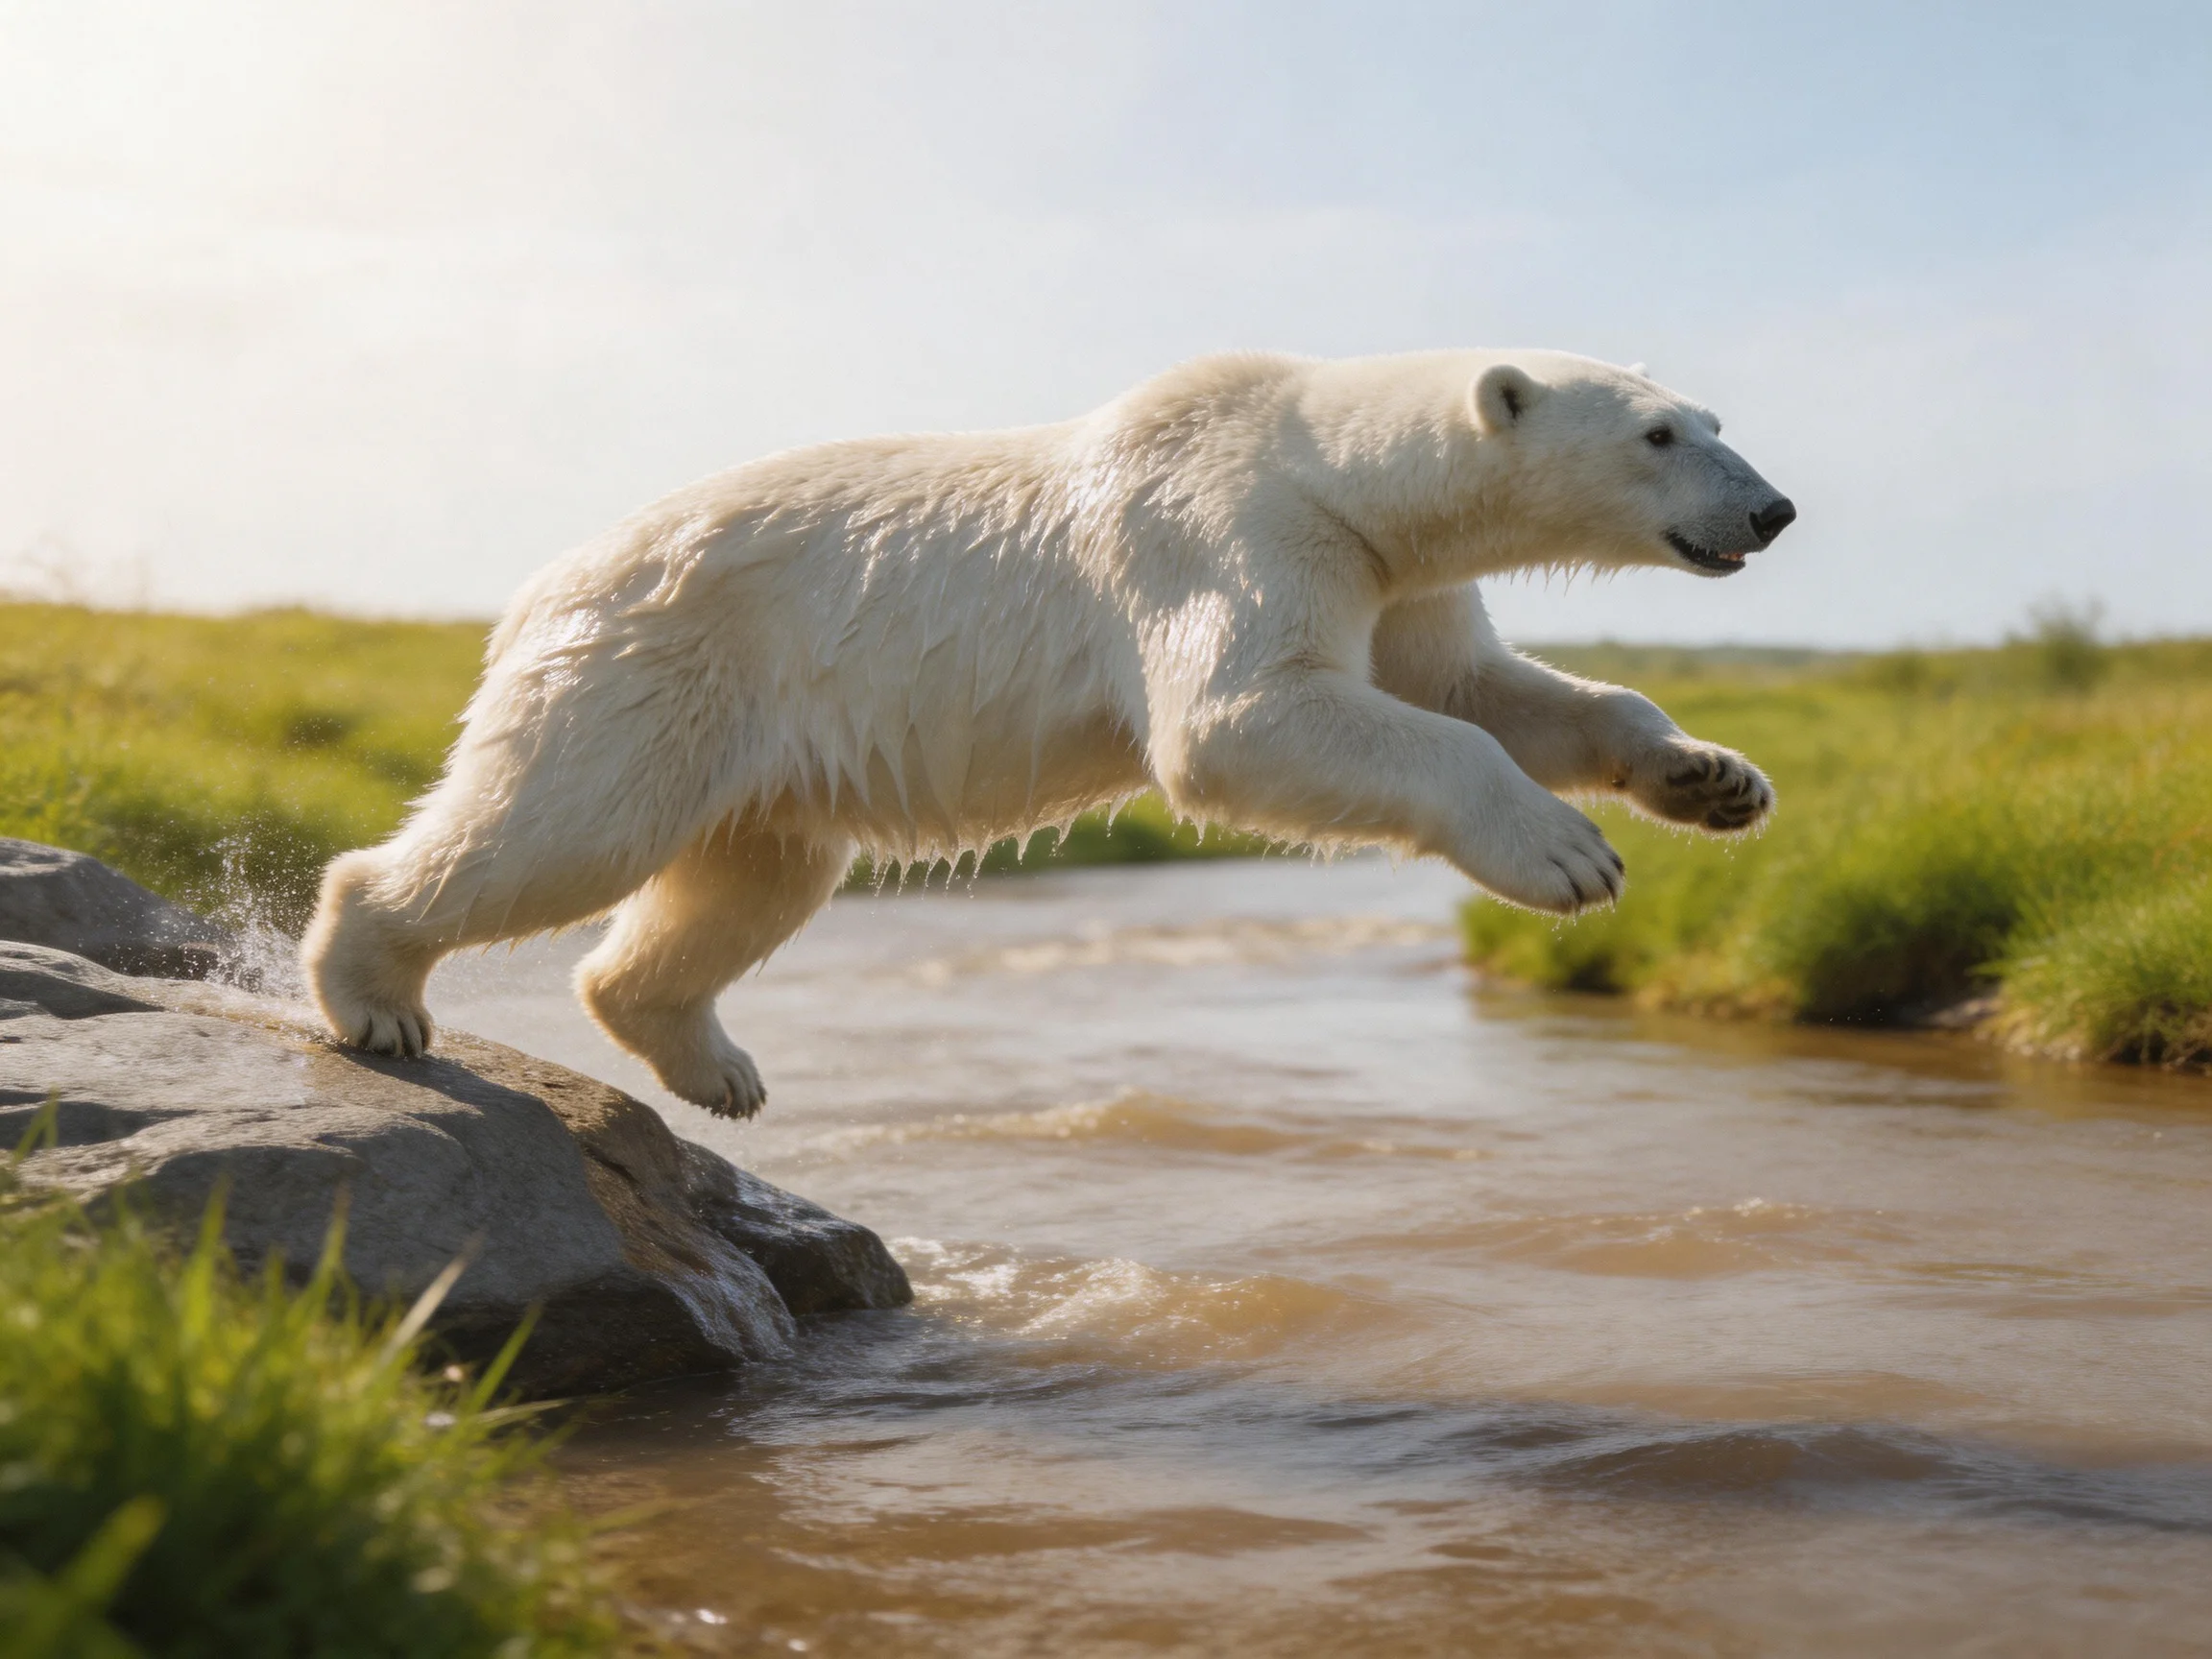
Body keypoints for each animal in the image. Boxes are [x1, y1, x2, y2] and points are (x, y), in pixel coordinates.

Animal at [303, 349, 1794, 1117]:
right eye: (1659, 434)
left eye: (1716, 418)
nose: (1773, 508)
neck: (1328, 467)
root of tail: (536, 590)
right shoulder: (1230, 535)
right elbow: (1241, 716)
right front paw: (1570, 858)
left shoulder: (1400, 585)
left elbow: (1491, 692)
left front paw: (1712, 778)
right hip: (659, 668)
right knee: (558, 829)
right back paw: (375, 996)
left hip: (760, 744)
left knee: (752, 876)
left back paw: (713, 1064)